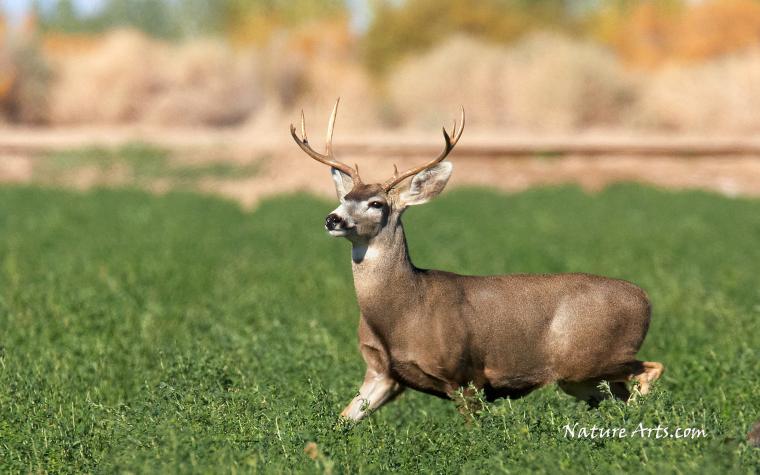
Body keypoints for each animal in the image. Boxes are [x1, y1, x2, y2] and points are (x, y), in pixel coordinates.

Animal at [290, 99, 664, 421]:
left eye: (376, 203)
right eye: (345, 197)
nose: (333, 219)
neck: (403, 311)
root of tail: (645, 298)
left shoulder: (465, 375)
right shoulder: (382, 373)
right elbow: (341, 421)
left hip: (593, 357)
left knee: (651, 370)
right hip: (580, 378)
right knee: (620, 394)